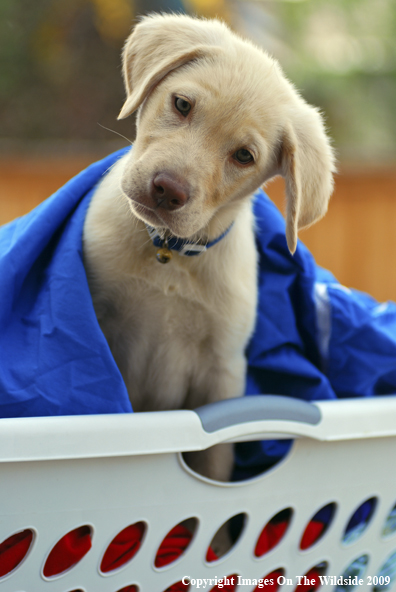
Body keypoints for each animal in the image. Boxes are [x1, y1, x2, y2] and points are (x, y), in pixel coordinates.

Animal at [83, 13, 334, 480]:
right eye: (182, 104)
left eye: (244, 156)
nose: (167, 190)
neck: (169, 255)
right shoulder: (101, 327)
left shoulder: (223, 372)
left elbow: (215, 462)